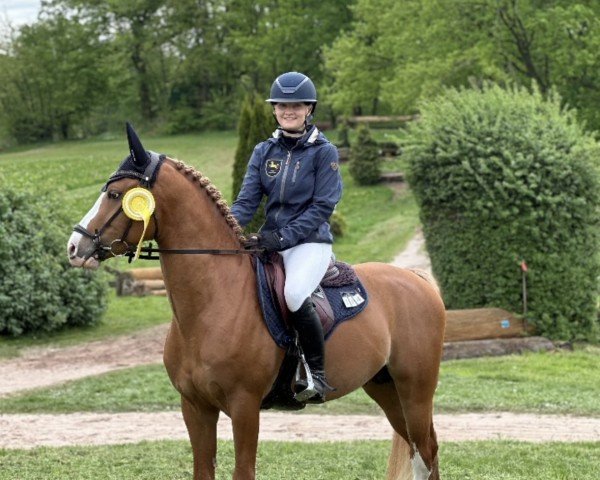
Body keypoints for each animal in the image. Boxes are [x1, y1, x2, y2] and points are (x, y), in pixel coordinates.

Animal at [69, 124, 446, 480]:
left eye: (116, 194)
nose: (75, 247)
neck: (211, 305)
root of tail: (418, 279)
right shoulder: (195, 407)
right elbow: (202, 470)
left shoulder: (244, 406)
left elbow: (243, 471)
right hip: (385, 388)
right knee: (420, 449)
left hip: (415, 389)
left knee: (426, 450)